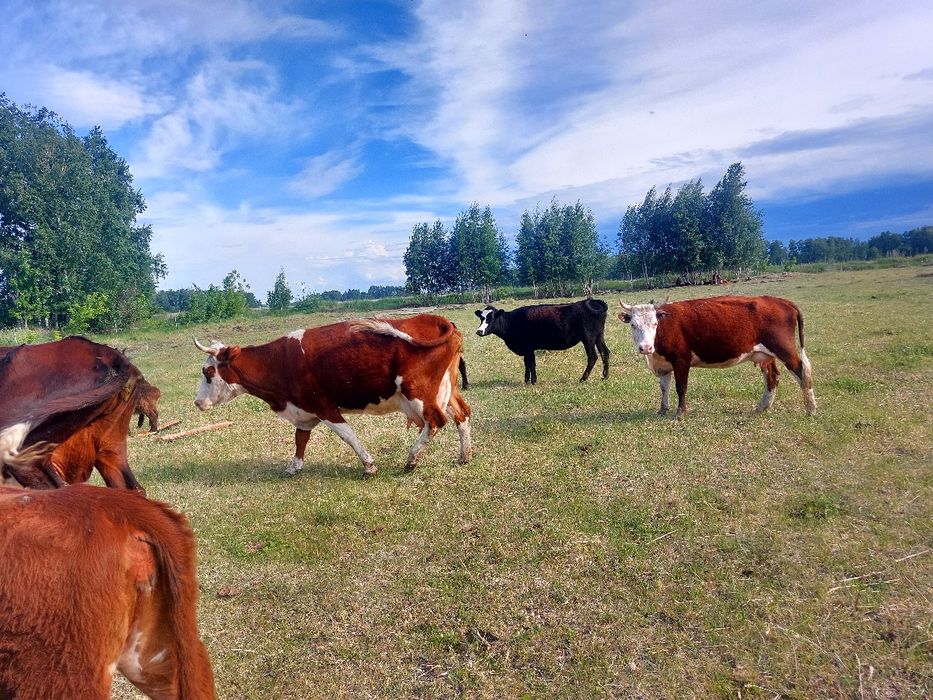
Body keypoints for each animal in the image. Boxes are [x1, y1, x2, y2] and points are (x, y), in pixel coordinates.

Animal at [193, 314, 472, 477]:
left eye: (207, 371)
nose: (197, 402)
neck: (279, 362)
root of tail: (438, 319)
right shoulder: (304, 411)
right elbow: (300, 438)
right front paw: (294, 466)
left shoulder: (323, 406)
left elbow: (348, 435)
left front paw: (369, 465)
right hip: (448, 388)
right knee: (462, 415)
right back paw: (464, 456)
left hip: (418, 392)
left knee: (435, 421)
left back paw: (412, 459)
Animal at [474, 298, 610, 384]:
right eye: (481, 318)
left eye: (491, 318)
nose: (479, 331)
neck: (512, 322)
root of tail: (594, 301)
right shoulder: (527, 349)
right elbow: (527, 363)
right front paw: (526, 380)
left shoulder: (528, 347)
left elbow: (531, 363)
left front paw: (533, 381)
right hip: (599, 336)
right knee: (605, 353)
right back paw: (605, 377)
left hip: (588, 337)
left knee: (592, 356)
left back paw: (583, 379)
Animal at [617, 295, 817, 418]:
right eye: (633, 325)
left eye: (654, 323)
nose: (645, 347)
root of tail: (782, 301)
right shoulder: (663, 364)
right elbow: (664, 388)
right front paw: (662, 409)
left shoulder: (681, 360)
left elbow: (681, 387)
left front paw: (680, 412)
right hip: (765, 355)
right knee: (772, 377)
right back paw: (762, 407)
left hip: (785, 350)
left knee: (802, 372)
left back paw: (811, 409)